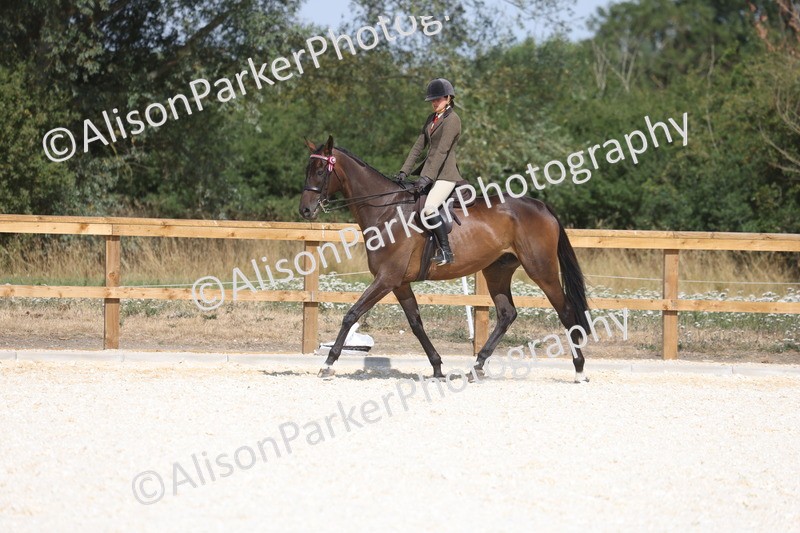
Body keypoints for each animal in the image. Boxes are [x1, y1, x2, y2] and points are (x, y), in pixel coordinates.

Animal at [299, 135, 591, 382]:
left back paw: (579, 370)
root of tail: (540, 206)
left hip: (541, 270)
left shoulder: (386, 278)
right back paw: (477, 367)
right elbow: (416, 323)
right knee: (507, 314)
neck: (387, 212)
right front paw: (437, 366)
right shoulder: (399, 283)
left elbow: (351, 314)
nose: (305, 210)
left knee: (565, 311)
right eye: (307, 169)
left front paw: (328, 363)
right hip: (497, 271)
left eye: (320, 170)